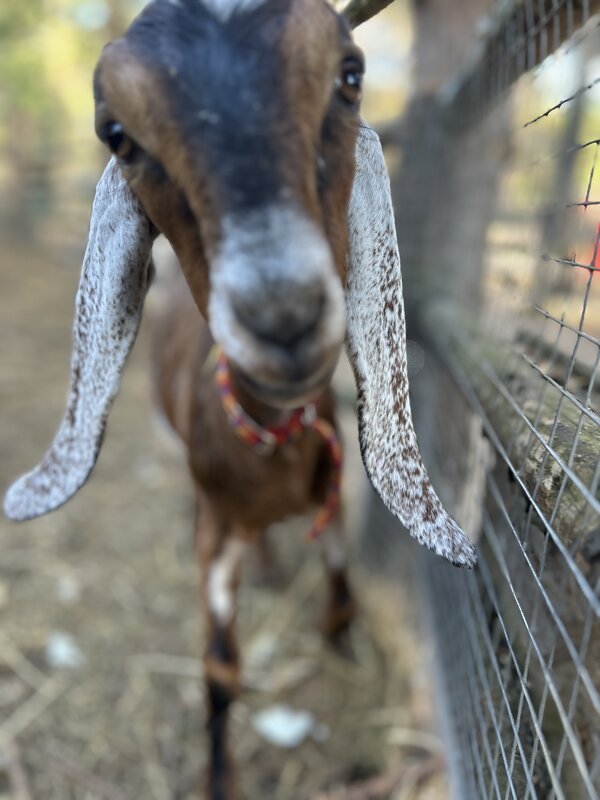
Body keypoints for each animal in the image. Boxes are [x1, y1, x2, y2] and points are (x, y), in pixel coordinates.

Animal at [2, 0, 476, 796]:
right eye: (117, 134)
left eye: (350, 77)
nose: (282, 315)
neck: (269, 447)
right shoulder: (215, 533)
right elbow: (220, 669)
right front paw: (221, 777)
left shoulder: (329, 495)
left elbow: (342, 588)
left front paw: (340, 644)